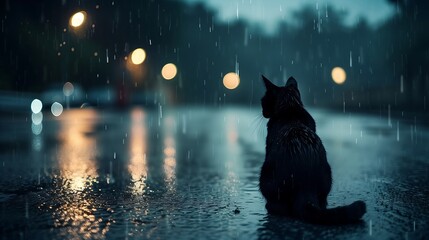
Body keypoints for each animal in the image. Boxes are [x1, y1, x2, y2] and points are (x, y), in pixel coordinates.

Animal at [258, 75, 364, 225]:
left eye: (263, 101)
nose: (263, 112)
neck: (291, 107)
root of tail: (305, 185)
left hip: (265, 174)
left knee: (278, 207)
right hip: (328, 174)